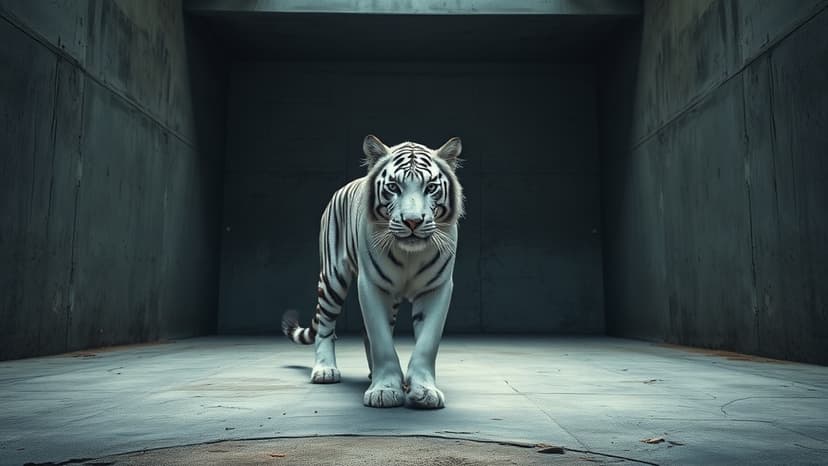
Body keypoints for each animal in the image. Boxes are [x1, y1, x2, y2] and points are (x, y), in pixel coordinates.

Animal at [281, 135, 463, 409]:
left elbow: (426, 342)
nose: (412, 221)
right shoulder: (371, 285)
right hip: (333, 278)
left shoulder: (437, 287)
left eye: (431, 188)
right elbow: (381, 341)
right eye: (394, 187)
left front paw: (424, 391)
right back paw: (325, 370)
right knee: (325, 325)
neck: (409, 254)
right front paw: (385, 390)